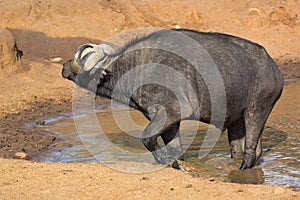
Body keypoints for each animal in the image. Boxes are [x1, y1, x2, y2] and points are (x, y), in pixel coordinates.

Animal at [61, 28, 284, 170]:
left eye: (83, 63)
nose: (64, 66)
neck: (134, 68)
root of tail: (274, 68)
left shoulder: (173, 110)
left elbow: (147, 138)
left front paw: (165, 161)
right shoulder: (169, 120)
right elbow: (175, 148)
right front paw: (175, 163)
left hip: (257, 110)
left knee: (250, 151)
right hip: (237, 120)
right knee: (247, 150)